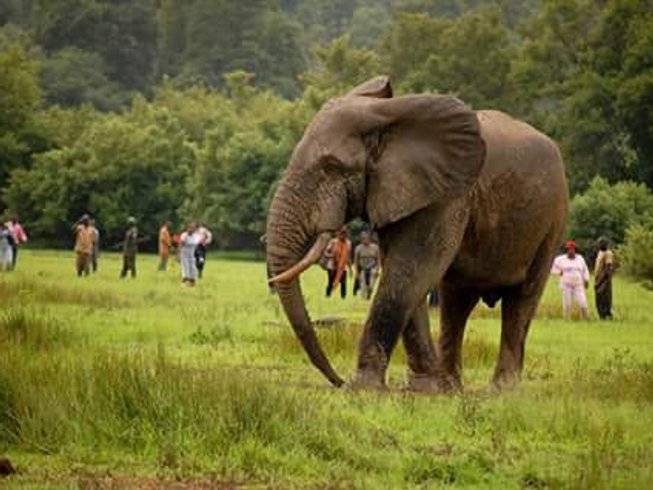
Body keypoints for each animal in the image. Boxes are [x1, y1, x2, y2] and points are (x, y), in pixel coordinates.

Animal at [264, 76, 564, 390]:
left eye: (331, 167)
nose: (339, 381)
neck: (384, 118)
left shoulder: (447, 196)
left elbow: (409, 270)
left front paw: (364, 388)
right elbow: (408, 276)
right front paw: (424, 390)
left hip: (553, 219)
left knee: (522, 300)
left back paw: (501, 390)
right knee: (456, 301)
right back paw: (451, 387)